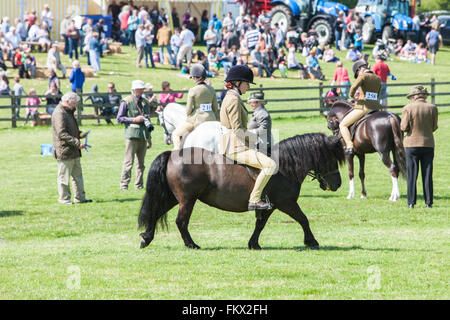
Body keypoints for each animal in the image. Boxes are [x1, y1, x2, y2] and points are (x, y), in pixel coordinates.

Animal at [137, 132, 344, 250]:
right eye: (331, 159)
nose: (338, 184)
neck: (285, 166)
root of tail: (172, 154)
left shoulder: (270, 205)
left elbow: (260, 225)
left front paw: (253, 244)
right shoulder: (286, 202)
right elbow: (303, 219)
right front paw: (312, 241)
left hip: (174, 198)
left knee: (156, 213)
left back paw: (146, 238)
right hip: (187, 199)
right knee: (181, 221)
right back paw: (192, 245)